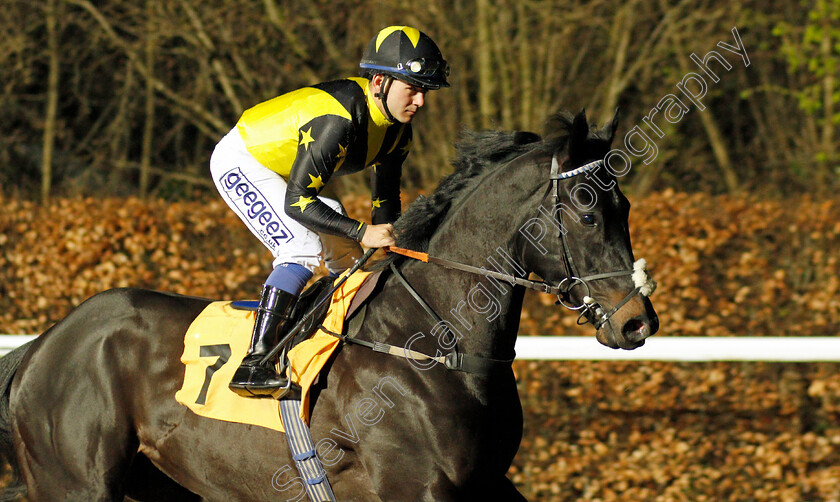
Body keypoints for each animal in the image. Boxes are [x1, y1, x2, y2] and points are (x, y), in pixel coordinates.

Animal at [0, 110, 656, 498]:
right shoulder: (413, 486)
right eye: (587, 209)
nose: (637, 322)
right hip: (75, 482)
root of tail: (43, 343)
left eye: (624, 206)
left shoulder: (486, 484)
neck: (430, 344)